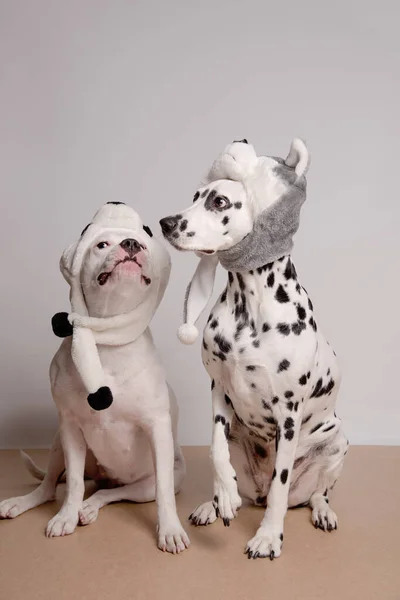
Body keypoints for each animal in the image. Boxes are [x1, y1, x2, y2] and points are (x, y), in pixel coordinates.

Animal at [0, 204, 191, 556]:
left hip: (146, 485)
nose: (131, 243)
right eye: (101, 244)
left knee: (113, 493)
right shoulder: (70, 427)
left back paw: (89, 507)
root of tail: (105, 476)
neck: (106, 340)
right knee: (51, 487)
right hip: (58, 443)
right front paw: (65, 517)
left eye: (144, 241)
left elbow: (164, 493)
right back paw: (27, 503)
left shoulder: (157, 427)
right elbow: (74, 482)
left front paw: (170, 530)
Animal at [159, 139, 346, 556]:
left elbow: (280, 484)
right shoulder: (219, 388)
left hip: (337, 441)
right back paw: (212, 504)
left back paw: (322, 511)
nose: (166, 223)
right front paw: (224, 497)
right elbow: (215, 450)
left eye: (220, 202)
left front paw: (268, 536)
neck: (249, 307)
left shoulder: (288, 413)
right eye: (195, 197)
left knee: (316, 492)